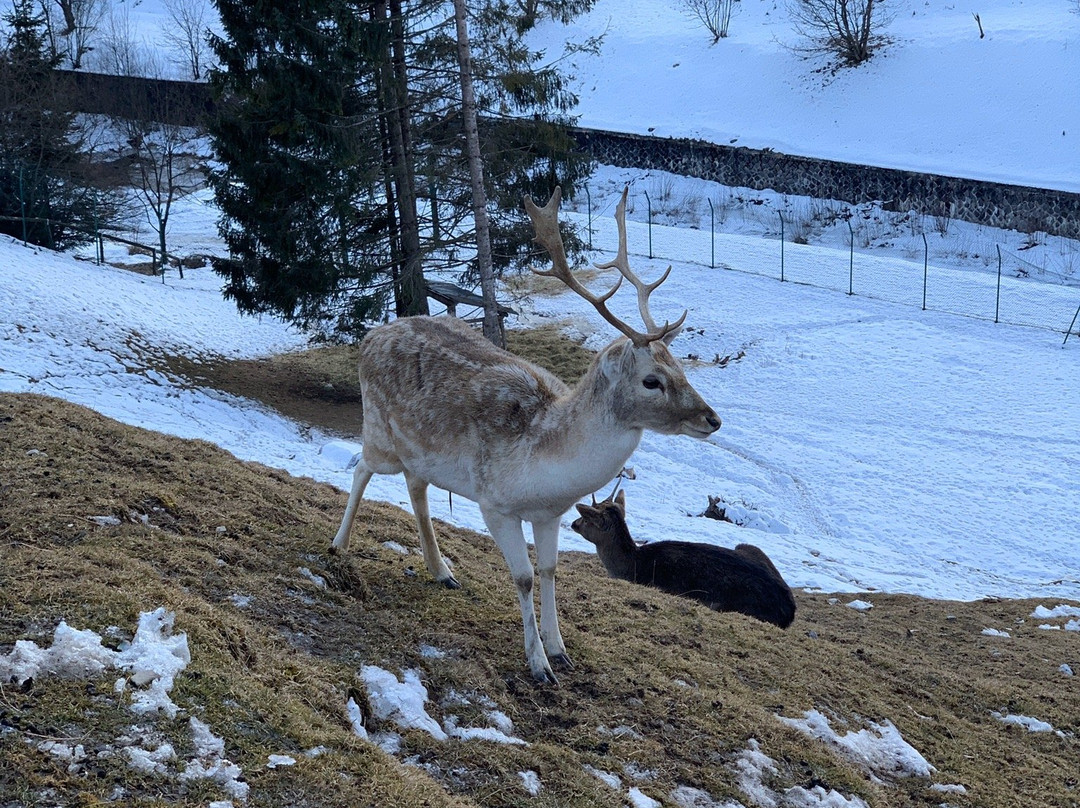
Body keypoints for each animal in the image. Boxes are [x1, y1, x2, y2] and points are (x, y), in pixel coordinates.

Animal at [328, 187, 717, 682]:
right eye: (652, 380)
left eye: (681, 368)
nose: (712, 419)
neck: (545, 470)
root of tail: (370, 335)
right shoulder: (495, 504)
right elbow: (524, 577)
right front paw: (538, 665)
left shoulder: (550, 514)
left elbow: (550, 571)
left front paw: (560, 651)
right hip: (379, 431)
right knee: (361, 468)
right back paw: (339, 544)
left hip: (420, 453)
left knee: (417, 488)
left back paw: (441, 570)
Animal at [574, 488, 794, 626]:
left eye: (586, 518)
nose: (573, 523)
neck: (631, 566)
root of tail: (790, 610)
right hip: (749, 547)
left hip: (723, 604)